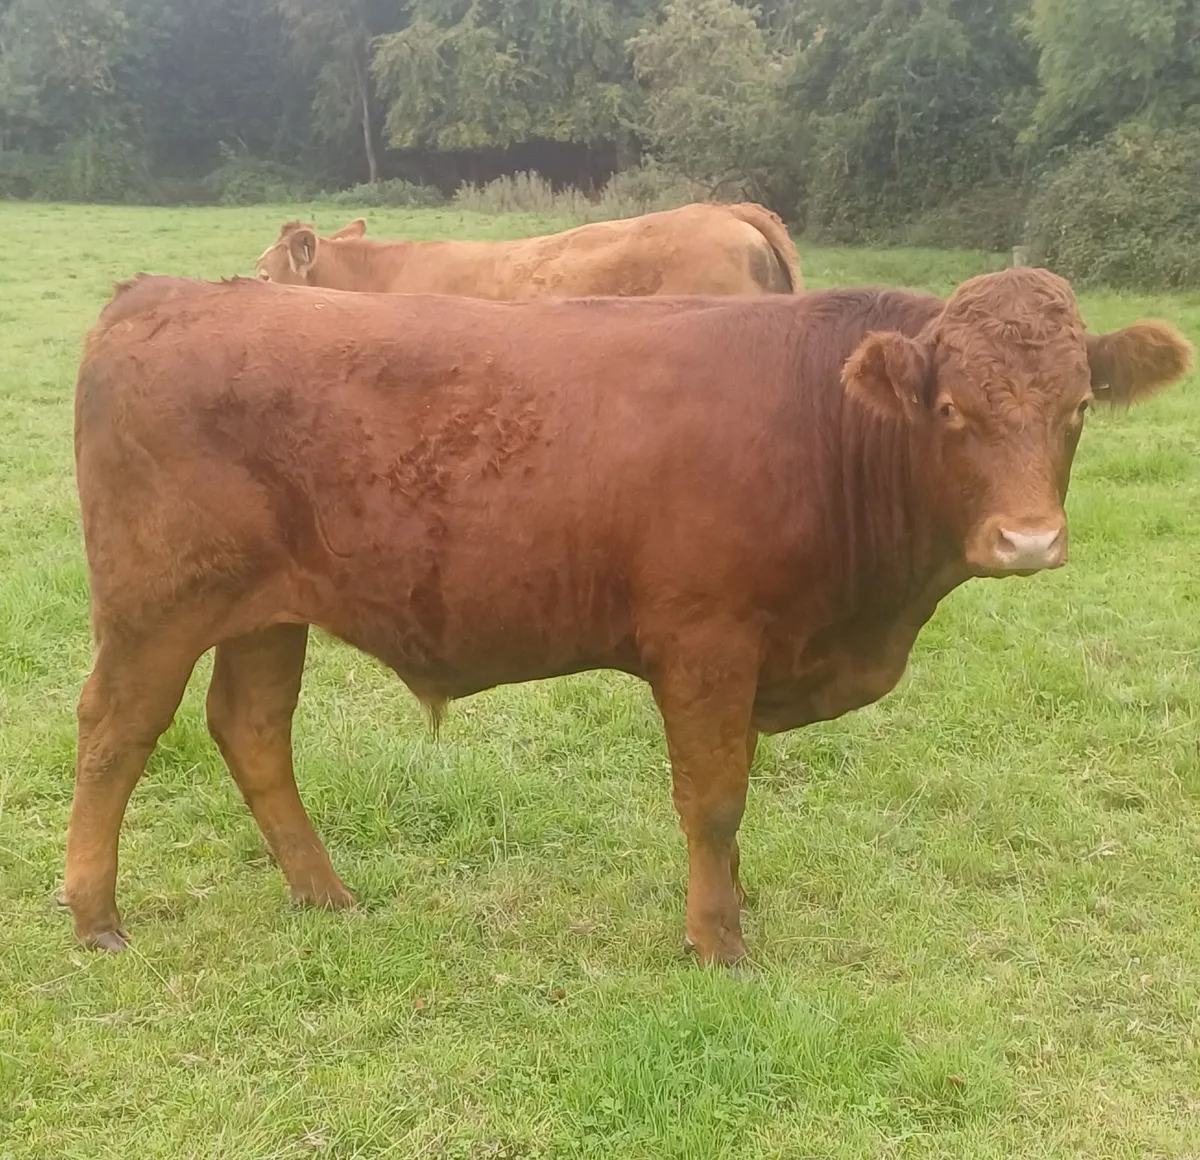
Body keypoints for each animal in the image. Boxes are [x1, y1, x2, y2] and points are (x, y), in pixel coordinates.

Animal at [66, 268, 1192, 963]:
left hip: (265, 612)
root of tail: (158, 293)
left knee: (252, 729)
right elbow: (717, 800)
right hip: (154, 604)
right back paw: (95, 915)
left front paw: (733, 907)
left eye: (1078, 408)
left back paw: (325, 895)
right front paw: (718, 944)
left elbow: (734, 798)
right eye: (952, 409)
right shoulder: (706, 641)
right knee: (116, 733)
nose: (1028, 540)